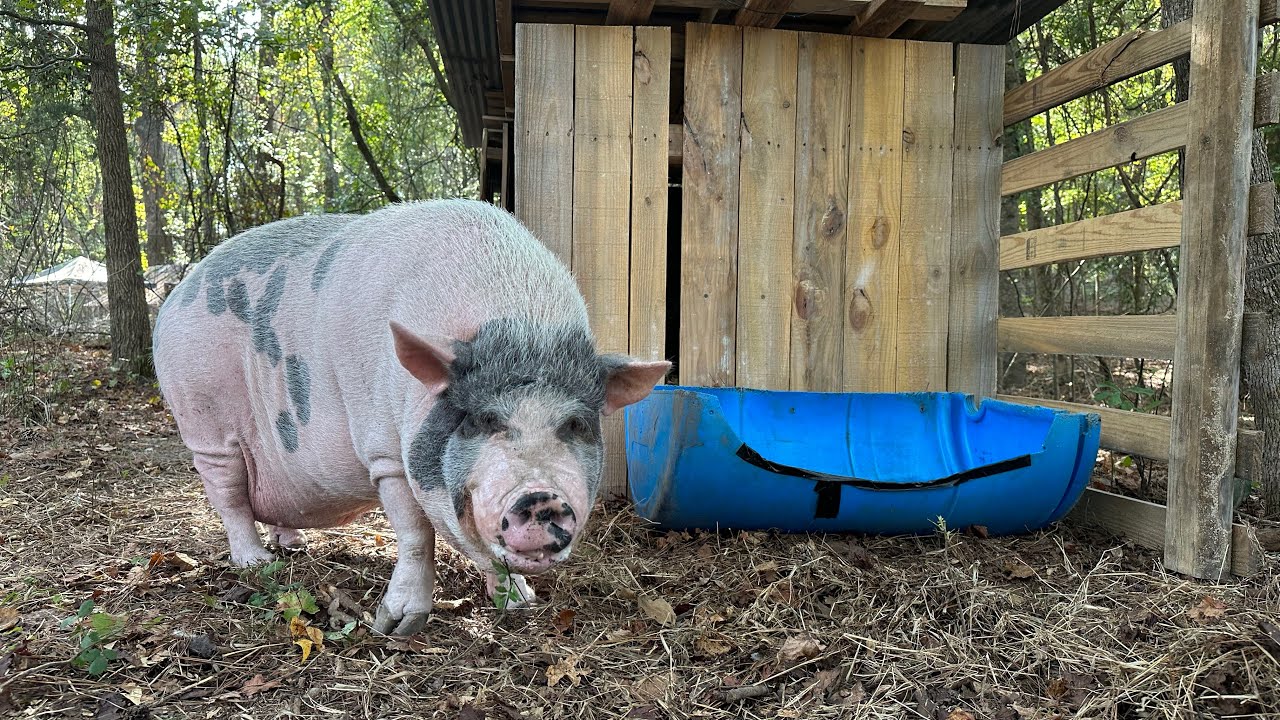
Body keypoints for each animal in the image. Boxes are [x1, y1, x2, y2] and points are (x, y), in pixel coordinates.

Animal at [152, 199, 670, 635]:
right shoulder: (386, 453)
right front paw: (395, 626)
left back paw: (292, 546)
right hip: (204, 423)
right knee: (230, 501)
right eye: (481, 419)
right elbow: (417, 534)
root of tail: (176, 295)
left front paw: (523, 604)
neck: (522, 329)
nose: (542, 498)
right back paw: (256, 563)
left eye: (576, 425)